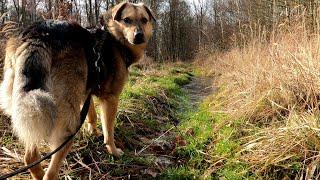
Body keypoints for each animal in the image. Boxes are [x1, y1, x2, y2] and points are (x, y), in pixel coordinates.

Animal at [0, 2, 155, 179]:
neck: (115, 37)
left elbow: (92, 116)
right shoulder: (111, 98)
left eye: (144, 20)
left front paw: (93, 132)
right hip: (68, 122)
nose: (139, 36)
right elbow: (109, 131)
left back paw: (37, 171)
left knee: (30, 157)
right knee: (51, 170)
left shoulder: (86, 93)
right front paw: (113, 151)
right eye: (127, 20)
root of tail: (38, 35)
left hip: (30, 112)